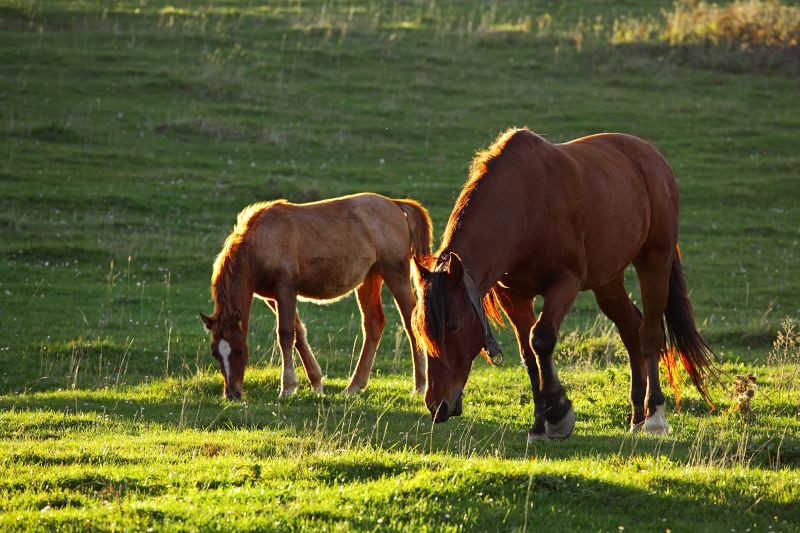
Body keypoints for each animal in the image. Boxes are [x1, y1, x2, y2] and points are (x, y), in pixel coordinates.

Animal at [203, 193, 434, 396]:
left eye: (240, 350)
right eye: (215, 353)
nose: (232, 394)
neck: (260, 241)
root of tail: (395, 204)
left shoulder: (285, 289)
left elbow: (285, 334)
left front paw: (287, 387)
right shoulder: (272, 297)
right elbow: (298, 333)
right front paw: (315, 382)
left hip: (395, 273)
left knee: (411, 321)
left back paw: (420, 385)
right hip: (370, 277)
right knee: (373, 323)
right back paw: (354, 387)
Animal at [412, 128, 720, 436]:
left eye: (453, 326)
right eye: (419, 330)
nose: (437, 405)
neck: (525, 205)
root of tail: (652, 157)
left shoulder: (565, 282)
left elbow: (541, 339)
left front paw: (558, 413)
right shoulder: (514, 295)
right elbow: (528, 353)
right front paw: (540, 421)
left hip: (654, 261)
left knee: (649, 333)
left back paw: (654, 414)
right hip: (608, 281)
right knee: (631, 328)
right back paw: (637, 416)